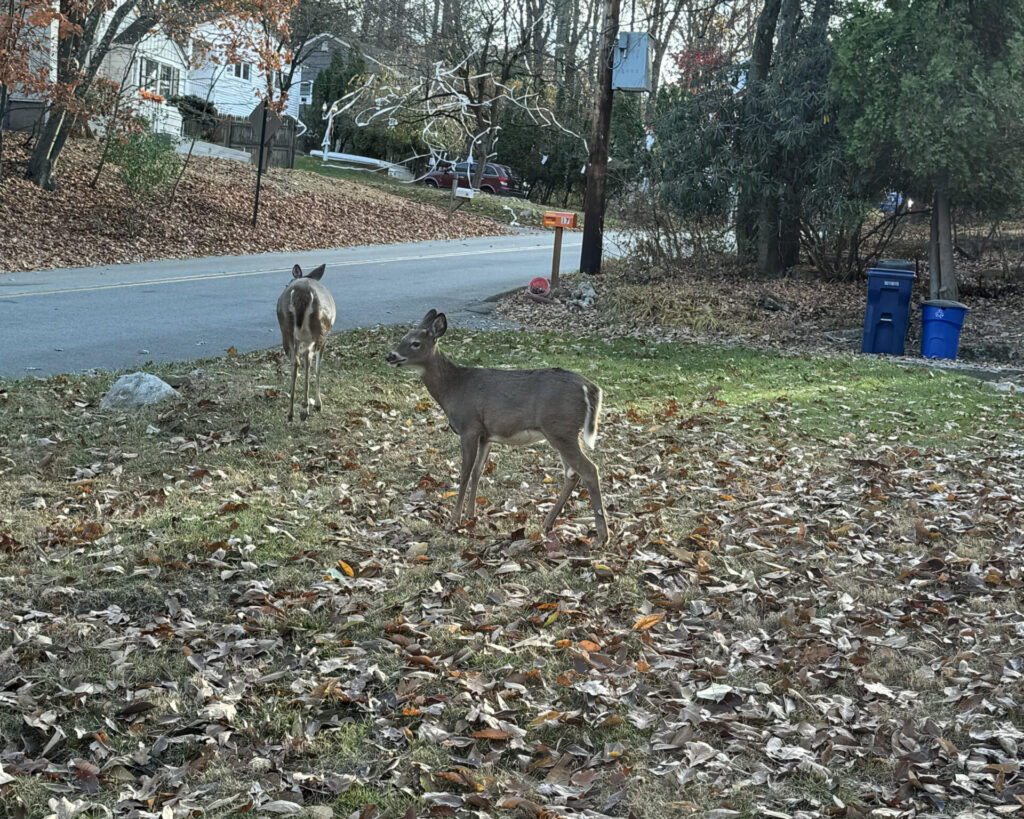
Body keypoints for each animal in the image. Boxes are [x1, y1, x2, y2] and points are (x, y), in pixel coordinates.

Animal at [385, 311, 606, 548]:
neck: (452, 388)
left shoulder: (469, 427)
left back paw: (602, 536)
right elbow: (477, 472)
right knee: (572, 474)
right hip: (563, 433)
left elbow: (464, 472)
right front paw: (471, 515)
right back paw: (547, 524)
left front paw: (454, 519)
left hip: (560, 429)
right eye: (403, 337)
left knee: (589, 470)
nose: (390, 356)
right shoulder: (486, 435)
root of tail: (590, 388)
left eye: (415, 343)